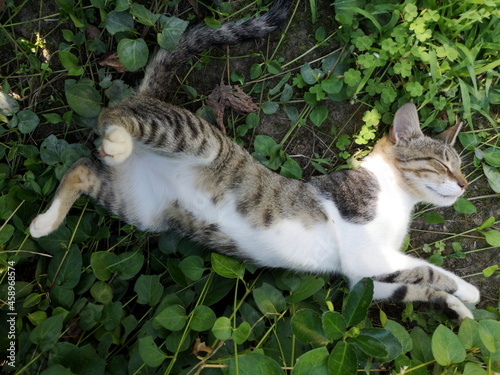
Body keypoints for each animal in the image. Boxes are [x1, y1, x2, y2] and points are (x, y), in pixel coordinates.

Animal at [28, 0, 480, 324]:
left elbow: (413, 287)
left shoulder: (364, 280)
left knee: (81, 168)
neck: (396, 195)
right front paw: (469, 291)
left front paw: (456, 307)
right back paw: (117, 141)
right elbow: (428, 269)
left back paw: (43, 223)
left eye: (459, 167)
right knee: (112, 113)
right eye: (442, 164)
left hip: (141, 208)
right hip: (192, 137)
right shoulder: (366, 249)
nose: (464, 184)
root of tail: (149, 98)